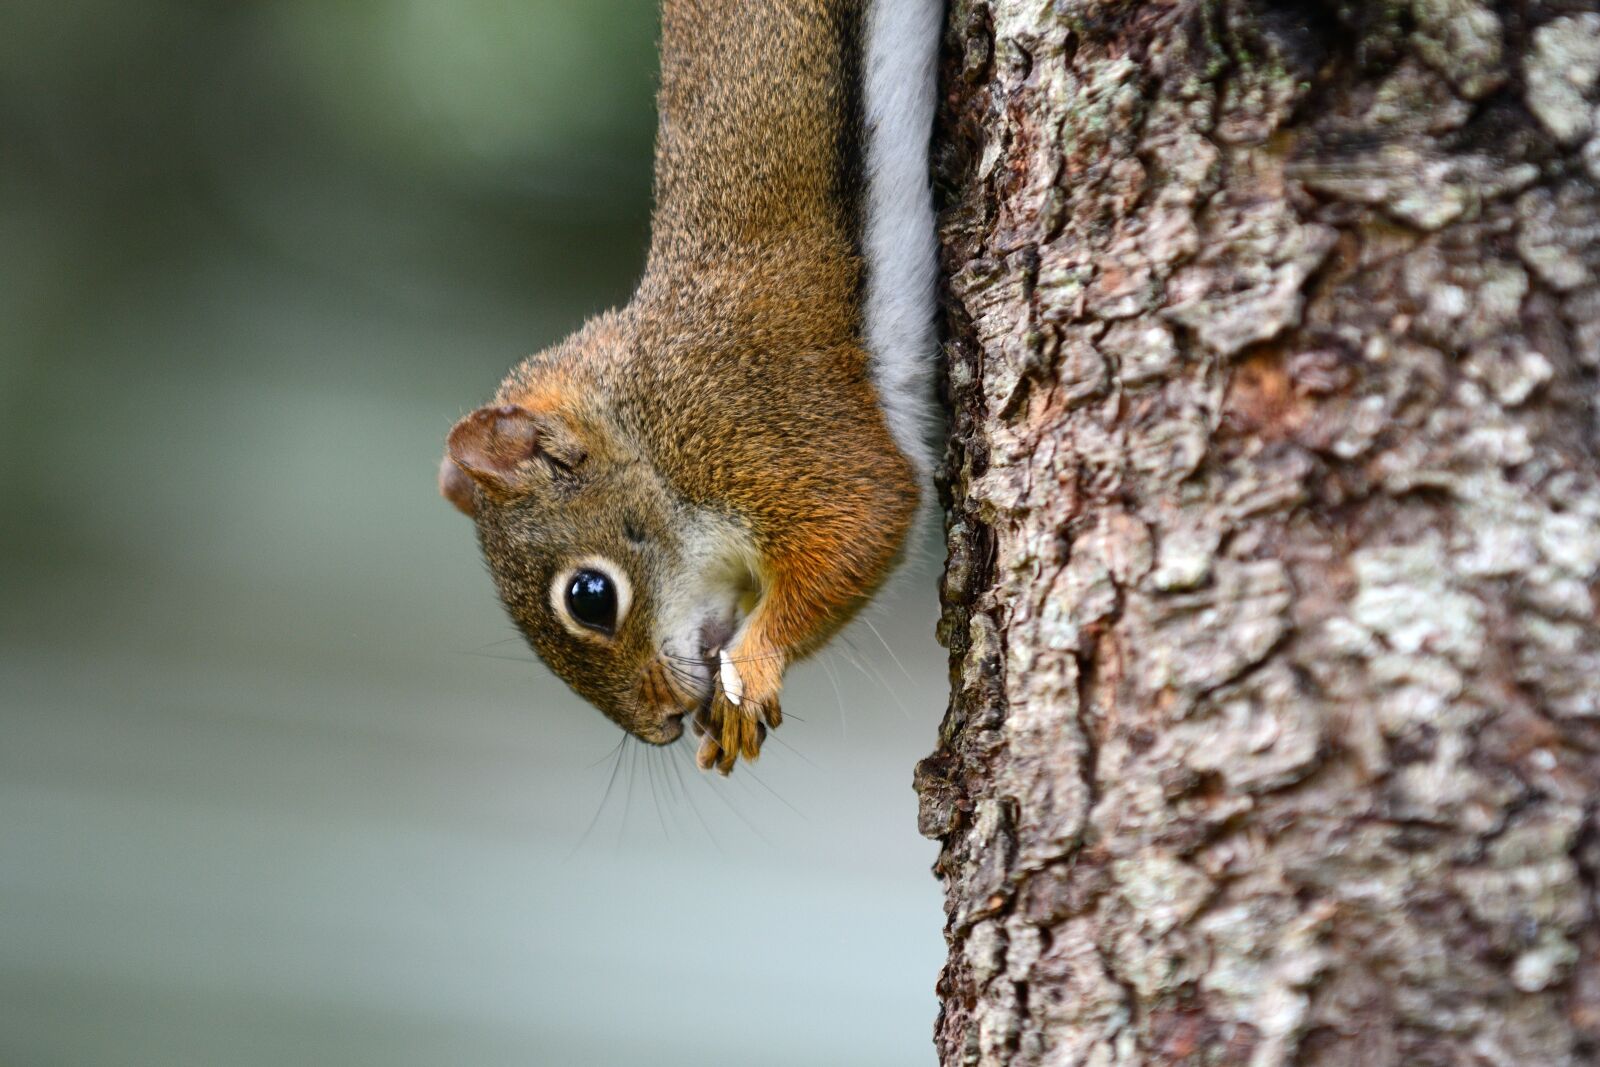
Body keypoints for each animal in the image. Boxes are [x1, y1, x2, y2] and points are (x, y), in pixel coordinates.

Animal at [439, 0, 939, 774]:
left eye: (589, 596)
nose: (662, 724)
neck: (644, 428)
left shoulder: (757, 424)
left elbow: (866, 516)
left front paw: (755, 666)